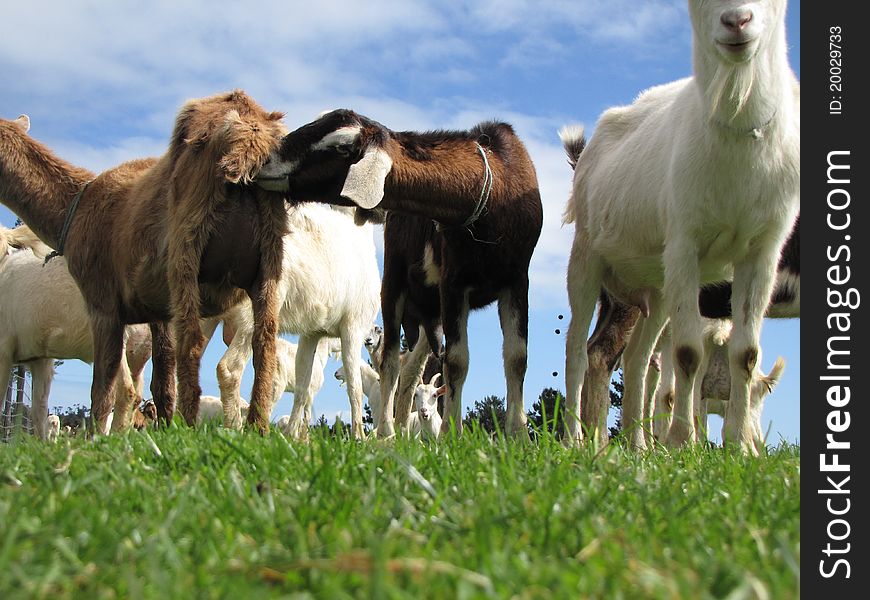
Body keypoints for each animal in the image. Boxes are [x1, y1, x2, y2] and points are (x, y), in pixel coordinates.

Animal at [216, 204, 380, 438]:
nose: (369, 341)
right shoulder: (352, 327)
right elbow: (355, 387)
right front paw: (359, 437)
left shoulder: (312, 333)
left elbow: (302, 387)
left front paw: (291, 436)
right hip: (251, 315)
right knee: (229, 369)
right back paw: (236, 429)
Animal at [564, 0, 800, 450]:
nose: (737, 21)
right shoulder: (685, 245)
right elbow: (688, 354)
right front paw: (682, 441)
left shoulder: (762, 252)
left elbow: (746, 354)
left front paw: (737, 447)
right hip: (588, 257)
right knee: (580, 349)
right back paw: (576, 440)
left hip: (656, 287)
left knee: (637, 359)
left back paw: (637, 447)